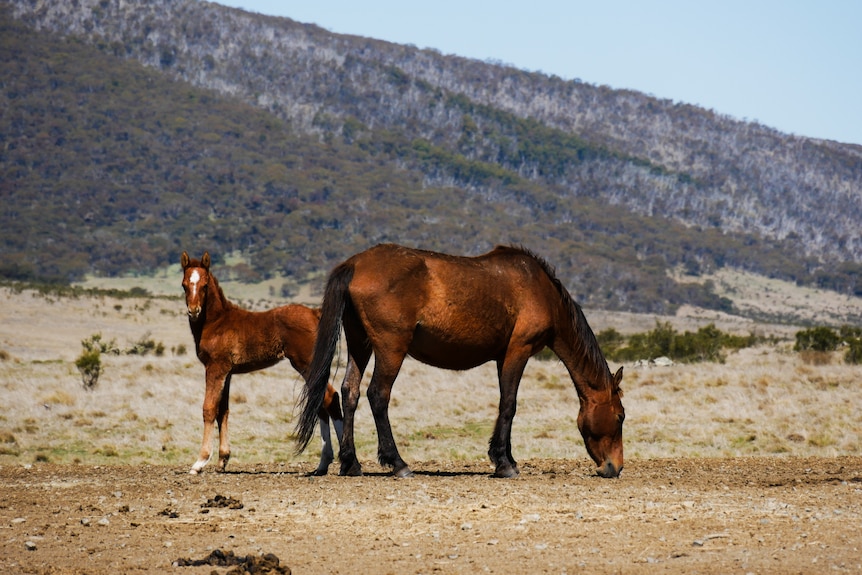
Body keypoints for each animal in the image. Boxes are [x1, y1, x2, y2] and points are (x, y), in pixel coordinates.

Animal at [181, 252, 344, 476]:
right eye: (184, 285)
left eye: (205, 285)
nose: (194, 311)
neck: (217, 322)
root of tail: (315, 313)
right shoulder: (228, 373)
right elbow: (223, 411)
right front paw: (223, 460)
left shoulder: (215, 368)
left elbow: (209, 409)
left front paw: (199, 462)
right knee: (322, 402)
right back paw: (323, 465)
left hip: (307, 365)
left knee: (329, 398)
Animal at [298, 244, 628, 482]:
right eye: (621, 416)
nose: (615, 467)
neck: (541, 290)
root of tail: (355, 264)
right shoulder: (518, 350)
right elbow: (509, 404)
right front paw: (504, 463)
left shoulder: (502, 357)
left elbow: (504, 404)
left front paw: (506, 458)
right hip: (391, 348)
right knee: (377, 395)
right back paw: (398, 464)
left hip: (360, 344)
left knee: (350, 392)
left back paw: (351, 463)